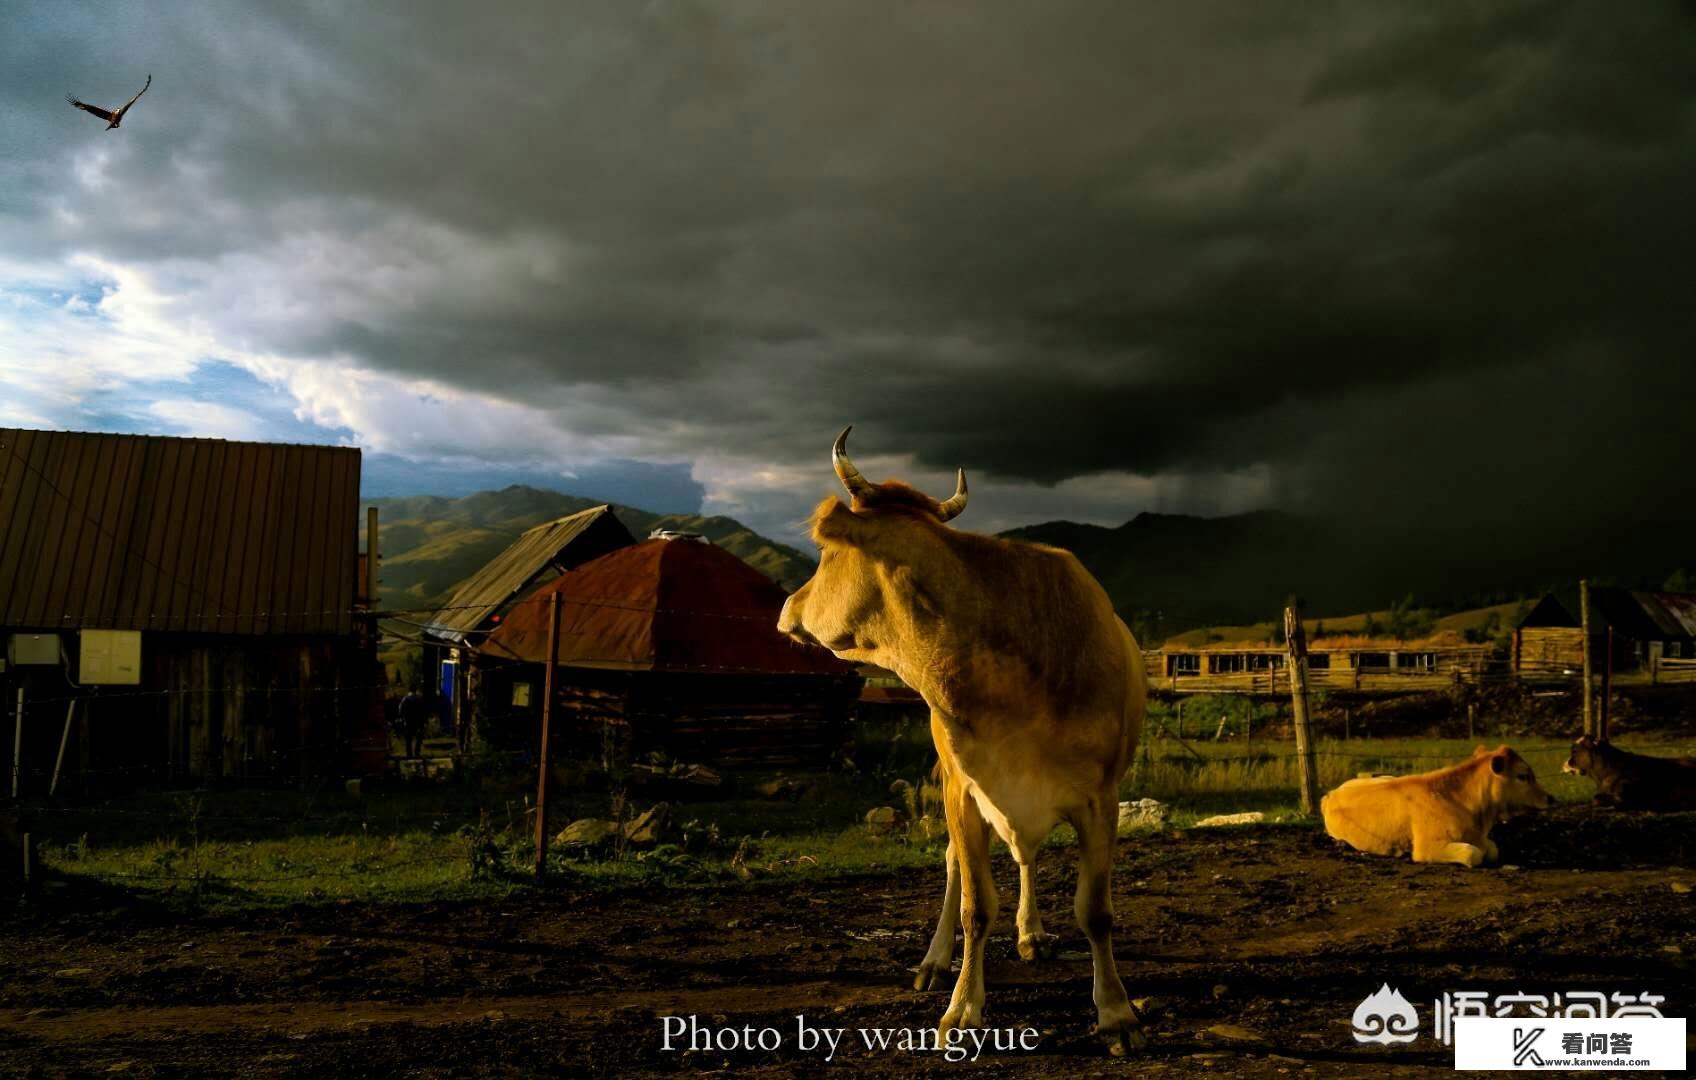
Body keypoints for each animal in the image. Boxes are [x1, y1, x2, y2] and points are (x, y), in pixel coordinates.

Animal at [780, 425, 1153, 1051]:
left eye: (826, 554)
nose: (786, 606)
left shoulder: (1101, 799)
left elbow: (1095, 911)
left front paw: (1116, 1012)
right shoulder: (965, 793)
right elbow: (975, 907)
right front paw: (962, 1007)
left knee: (1027, 857)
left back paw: (1031, 933)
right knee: (957, 869)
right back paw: (935, 962)